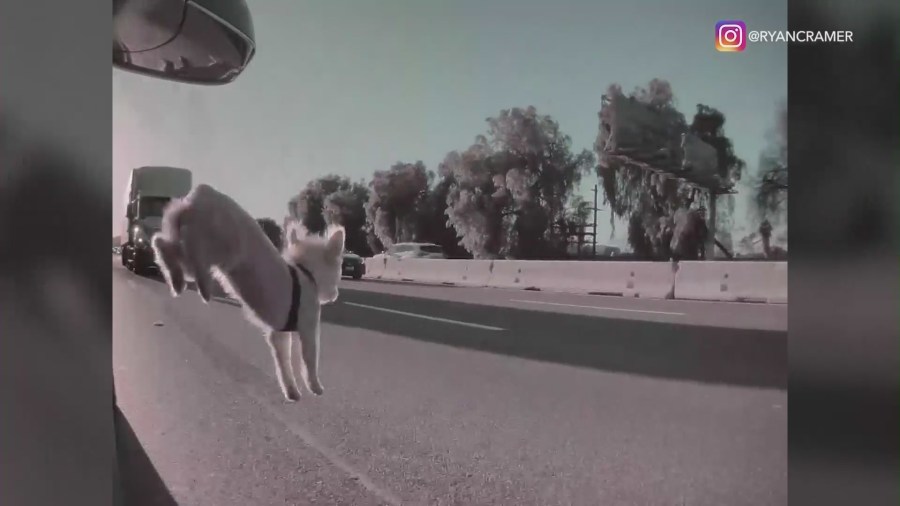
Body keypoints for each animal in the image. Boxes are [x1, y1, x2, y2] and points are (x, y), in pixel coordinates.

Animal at [151, 184, 342, 402]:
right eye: (339, 271)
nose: (335, 295)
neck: (305, 272)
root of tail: (197, 196)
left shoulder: (279, 335)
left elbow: (283, 365)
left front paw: (291, 392)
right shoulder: (308, 328)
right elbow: (309, 361)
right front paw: (315, 387)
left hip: (185, 236)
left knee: (162, 244)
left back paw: (177, 280)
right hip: (218, 247)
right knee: (196, 259)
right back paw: (203, 287)